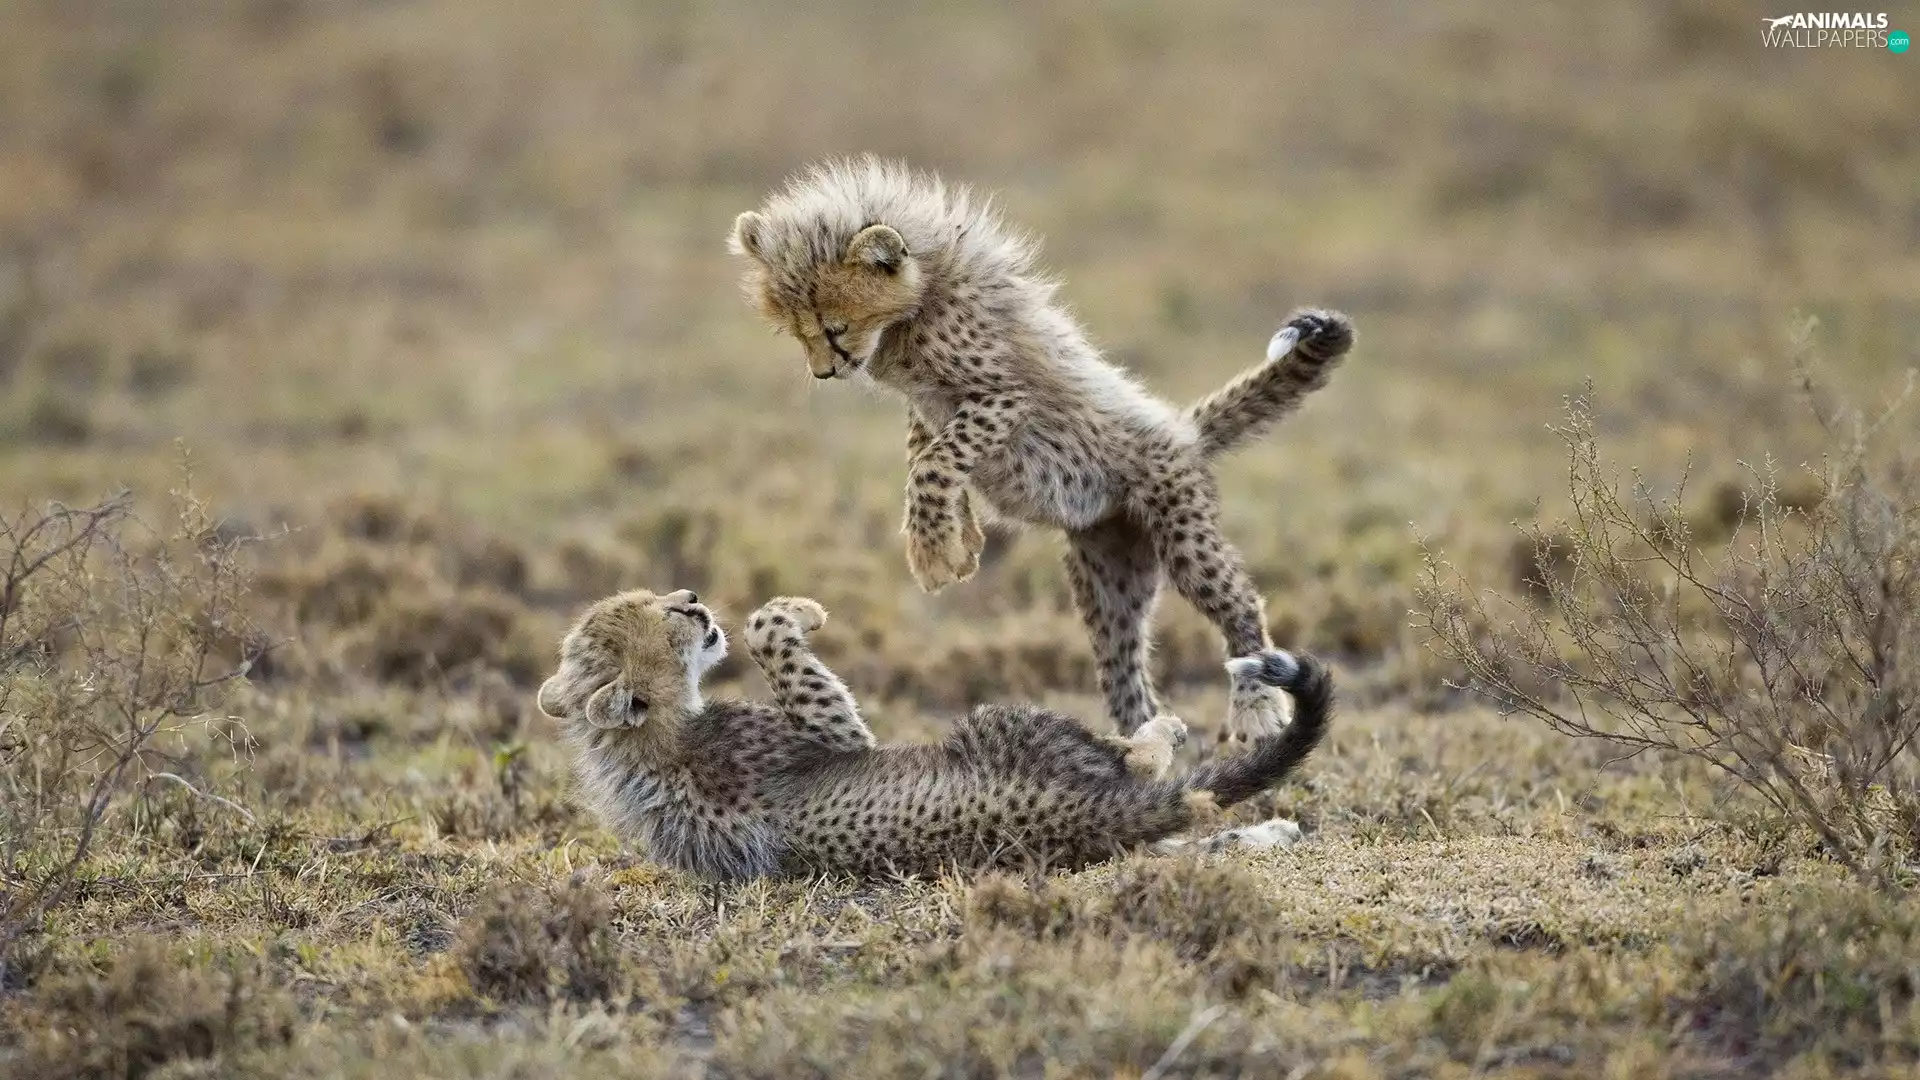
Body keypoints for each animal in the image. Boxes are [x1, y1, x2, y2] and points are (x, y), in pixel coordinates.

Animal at [535, 588, 1334, 881]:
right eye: (664, 615)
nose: (695, 601)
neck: (649, 743)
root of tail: (1067, 820)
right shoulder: (834, 735)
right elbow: (772, 637)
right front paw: (797, 612)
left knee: (1182, 834)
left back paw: (1274, 831)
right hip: (1002, 724)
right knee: (1143, 772)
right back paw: (1159, 728)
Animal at [729, 156, 1354, 743]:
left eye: (833, 327)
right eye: (797, 332)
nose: (823, 371)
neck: (918, 303)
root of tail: (1181, 429)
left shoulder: (1004, 397)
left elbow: (936, 460)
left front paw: (933, 552)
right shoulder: (929, 406)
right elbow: (924, 449)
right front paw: (960, 540)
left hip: (1182, 534)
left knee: (1241, 607)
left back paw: (1255, 707)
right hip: (1110, 581)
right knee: (1125, 673)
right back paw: (1139, 747)